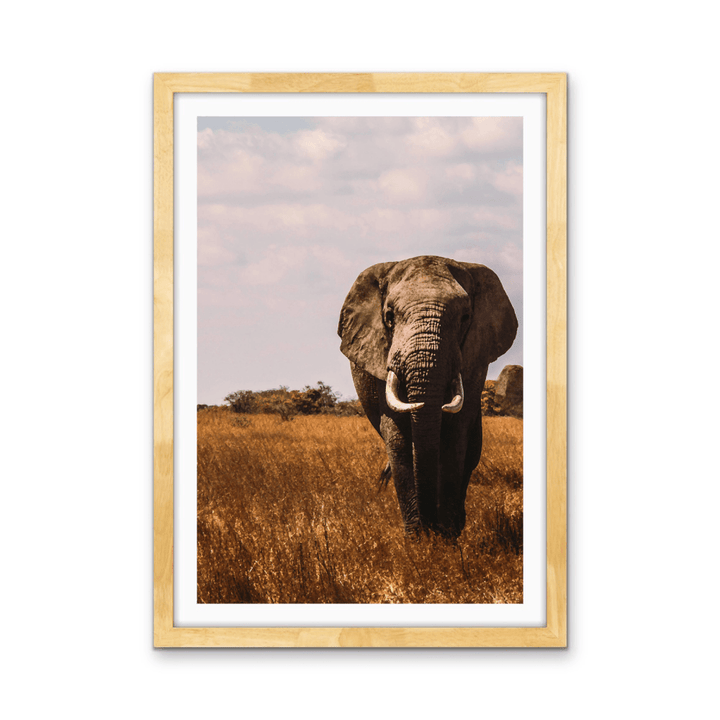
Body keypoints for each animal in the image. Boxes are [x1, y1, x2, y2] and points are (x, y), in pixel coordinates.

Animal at [338, 255, 518, 539]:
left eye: (465, 317)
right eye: (389, 316)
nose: (429, 528)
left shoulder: (475, 361)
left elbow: (456, 435)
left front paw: (445, 538)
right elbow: (398, 437)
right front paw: (418, 540)